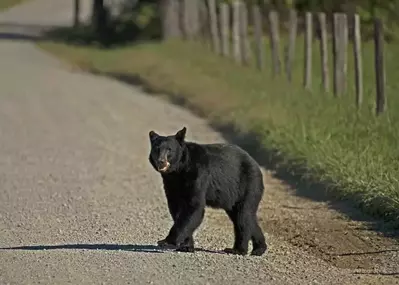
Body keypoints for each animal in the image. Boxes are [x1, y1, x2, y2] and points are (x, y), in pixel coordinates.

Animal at [148, 126, 268, 255]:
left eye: (169, 150)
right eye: (156, 149)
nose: (161, 161)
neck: (179, 170)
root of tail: (256, 165)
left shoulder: (198, 175)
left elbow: (194, 207)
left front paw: (166, 241)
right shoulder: (172, 184)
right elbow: (176, 208)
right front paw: (186, 246)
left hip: (248, 186)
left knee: (243, 216)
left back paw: (239, 249)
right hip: (233, 197)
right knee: (245, 217)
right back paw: (259, 248)